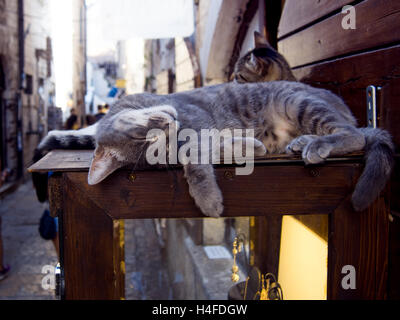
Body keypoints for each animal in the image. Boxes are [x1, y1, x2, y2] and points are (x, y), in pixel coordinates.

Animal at [35, 79, 394, 216]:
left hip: (298, 102)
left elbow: (196, 164)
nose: (168, 125)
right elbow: (210, 151)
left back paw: (316, 143)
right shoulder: (200, 138)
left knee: (356, 135)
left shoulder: (195, 122)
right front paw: (249, 146)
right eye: (149, 145)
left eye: (141, 135)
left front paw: (207, 200)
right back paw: (301, 143)